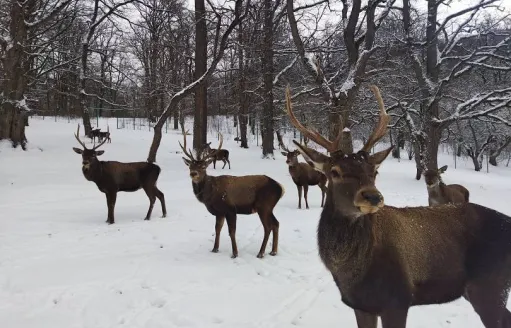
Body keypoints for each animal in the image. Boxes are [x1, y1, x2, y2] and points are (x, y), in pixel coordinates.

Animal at [286, 84, 511, 328]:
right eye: (334, 171)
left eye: (374, 172)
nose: (373, 197)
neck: (351, 273)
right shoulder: (360, 305)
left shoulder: (398, 300)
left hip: (490, 285)